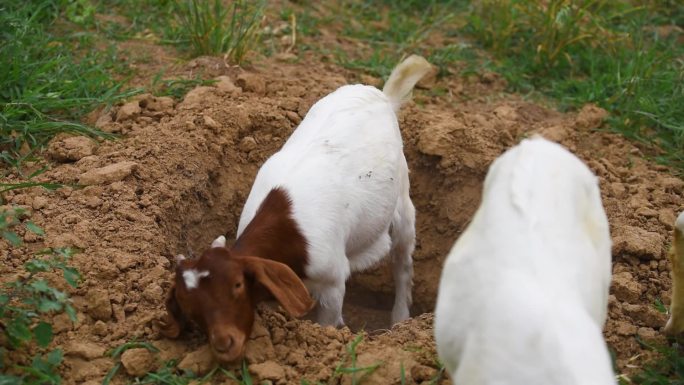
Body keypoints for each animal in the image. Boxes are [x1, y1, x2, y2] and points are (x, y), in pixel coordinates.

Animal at [160, 54, 430, 364]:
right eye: (188, 307)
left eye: (237, 286)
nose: (225, 344)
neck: (289, 230)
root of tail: (382, 96)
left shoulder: (333, 280)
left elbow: (326, 321)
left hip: (403, 202)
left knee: (403, 262)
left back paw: (400, 319)